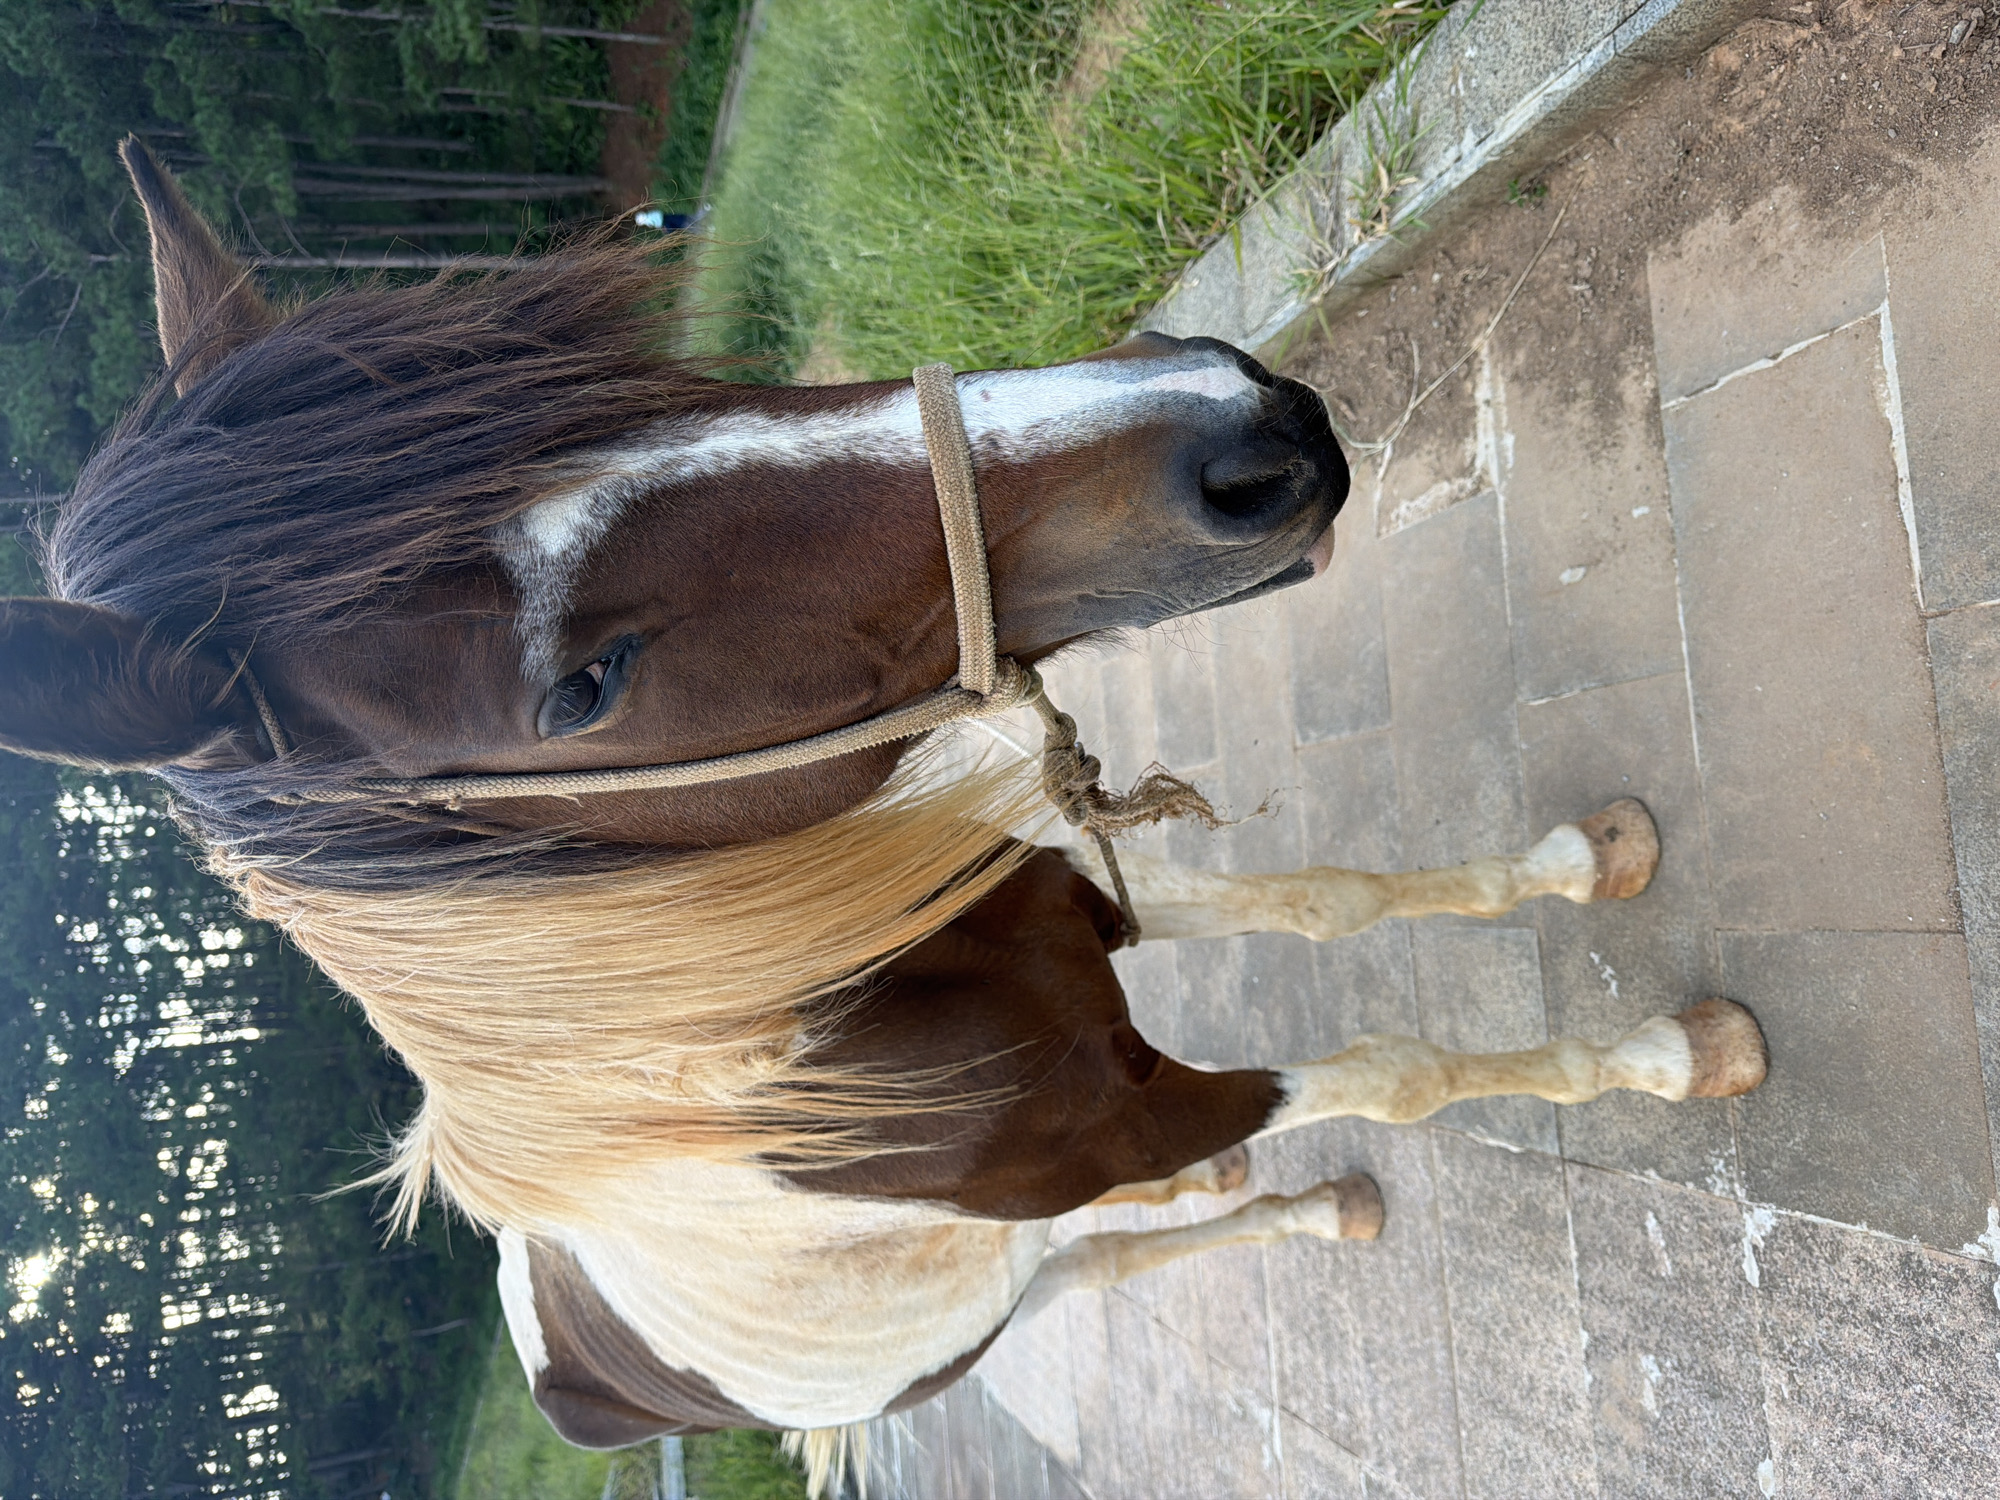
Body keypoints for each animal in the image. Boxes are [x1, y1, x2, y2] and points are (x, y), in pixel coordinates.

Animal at [0, 142, 1767, 1491]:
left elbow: (1325, 893)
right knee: (1119, 1252)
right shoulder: (1133, 1116)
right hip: (986, 1321)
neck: (808, 1036)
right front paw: (1671, 1056)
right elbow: (1390, 1071)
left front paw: (1585, 861)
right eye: (584, 687)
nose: (1245, 432)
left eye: (630, 369)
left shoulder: (1071, 901)